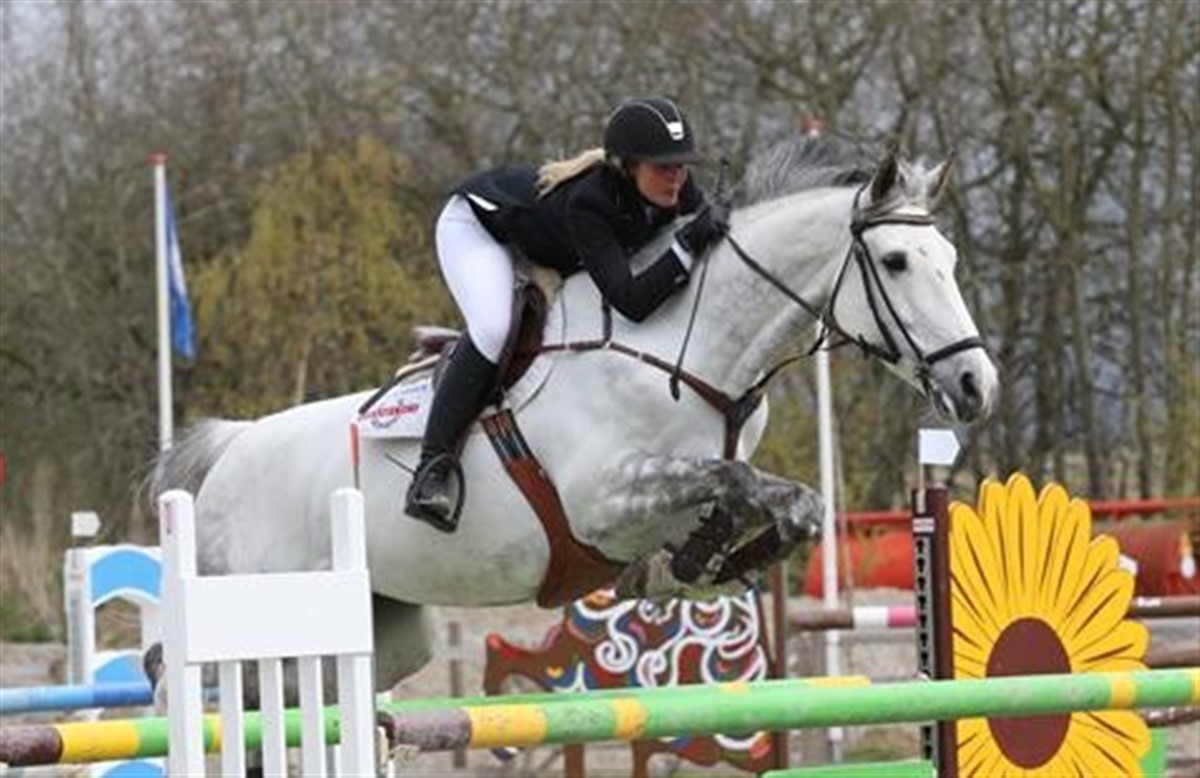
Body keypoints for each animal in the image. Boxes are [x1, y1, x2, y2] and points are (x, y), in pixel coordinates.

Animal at [149, 136, 998, 694]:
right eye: (896, 262)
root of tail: (229, 449)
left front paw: (696, 565)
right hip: (251, 605)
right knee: (178, 677)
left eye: (953, 261)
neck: (686, 353)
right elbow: (743, 482)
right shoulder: (608, 499)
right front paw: (693, 562)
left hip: (380, 636)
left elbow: (786, 502)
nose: (975, 385)